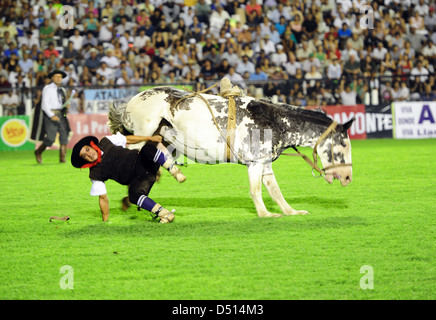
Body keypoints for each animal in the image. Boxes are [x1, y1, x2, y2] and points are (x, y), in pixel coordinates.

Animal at [108, 85, 354, 218]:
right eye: (343, 145)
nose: (348, 177)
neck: (275, 120)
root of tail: (131, 101)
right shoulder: (255, 163)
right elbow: (256, 191)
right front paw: (265, 214)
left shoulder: (265, 163)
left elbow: (275, 190)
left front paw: (291, 211)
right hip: (141, 134)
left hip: (165, 137)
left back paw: (173, 174)